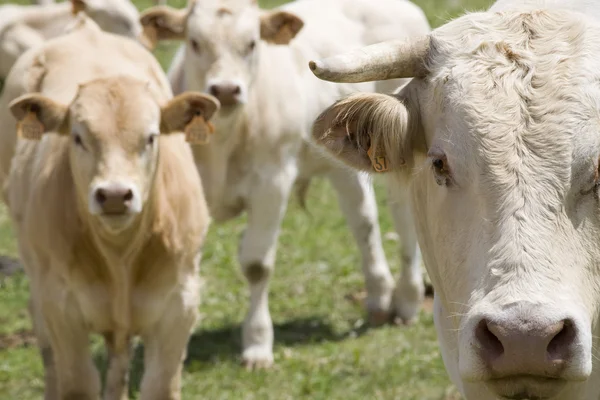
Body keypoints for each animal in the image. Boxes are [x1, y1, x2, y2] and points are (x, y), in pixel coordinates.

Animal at [0, 15, 218, 400]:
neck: (120, 257)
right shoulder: (62, 307)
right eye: (78, 137)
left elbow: (159, 386)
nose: (115, 195)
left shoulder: (179, 306)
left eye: (151, 137)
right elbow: (77, 384)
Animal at [139, 0, 432, 368]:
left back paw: (406, 300)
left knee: (403, 217)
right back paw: (379, 296)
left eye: (252, 44)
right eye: (194, 42)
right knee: (363, 220)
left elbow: (256, 265)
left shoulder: (271, 183)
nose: (225, 90)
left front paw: (257, 344)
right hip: (344, 160)